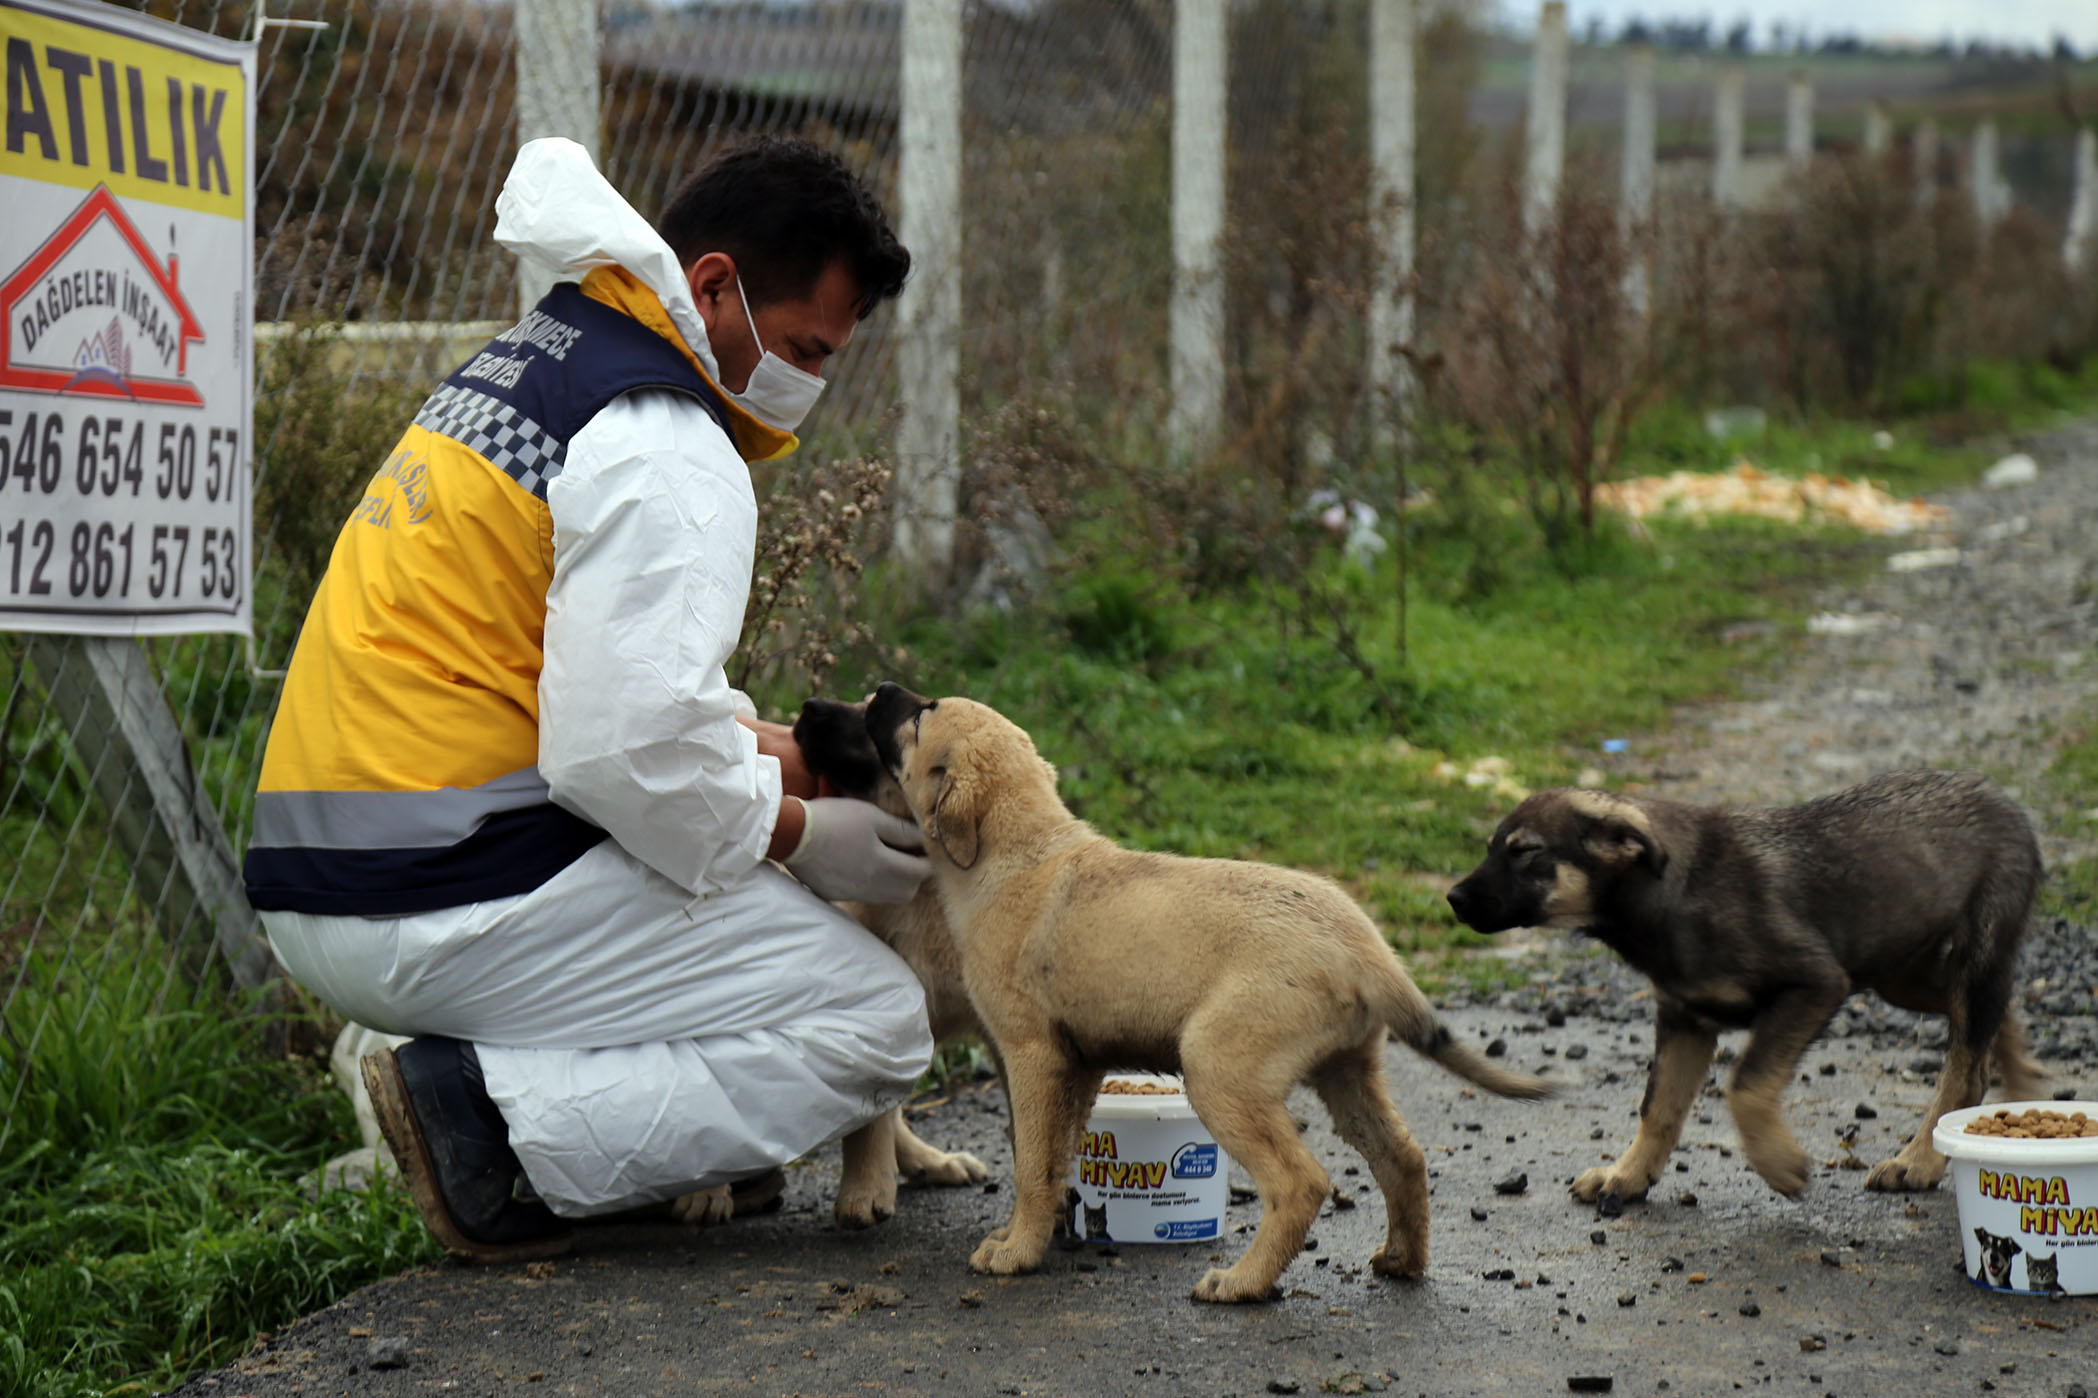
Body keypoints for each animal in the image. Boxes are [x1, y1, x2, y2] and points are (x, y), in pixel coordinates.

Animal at [860, 680, 1552, 1301]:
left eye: (921, 714)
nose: (878, 688)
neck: (1020, 854)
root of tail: (1365, 947)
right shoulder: (1078, 1066)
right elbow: (1054, 1162)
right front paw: (1033, 1235)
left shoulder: (1033, 1056)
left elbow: (1030, 1164)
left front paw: (1015, 1253)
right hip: (1346, 1070)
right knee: (1402, 1156)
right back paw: (1402, 1259)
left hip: (1220, 1068)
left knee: (1302, 1181)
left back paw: (1243, 1282)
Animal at [1451, 768, 2039, 1200]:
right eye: (1491, 847)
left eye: (1524, 851)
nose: (1452, 899)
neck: (1671, 896)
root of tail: (1999, 795)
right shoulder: (1684, 1020)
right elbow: (1658, 1107)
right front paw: (1628, 1175)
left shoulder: (1814, 983)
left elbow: (1746, 1084)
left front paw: (1778, 1165)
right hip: (1898, 969)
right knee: (1987, 1026)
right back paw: (2021, 1080)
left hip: (1961, 954)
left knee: (1963, 1065)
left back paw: (1917, 1162)